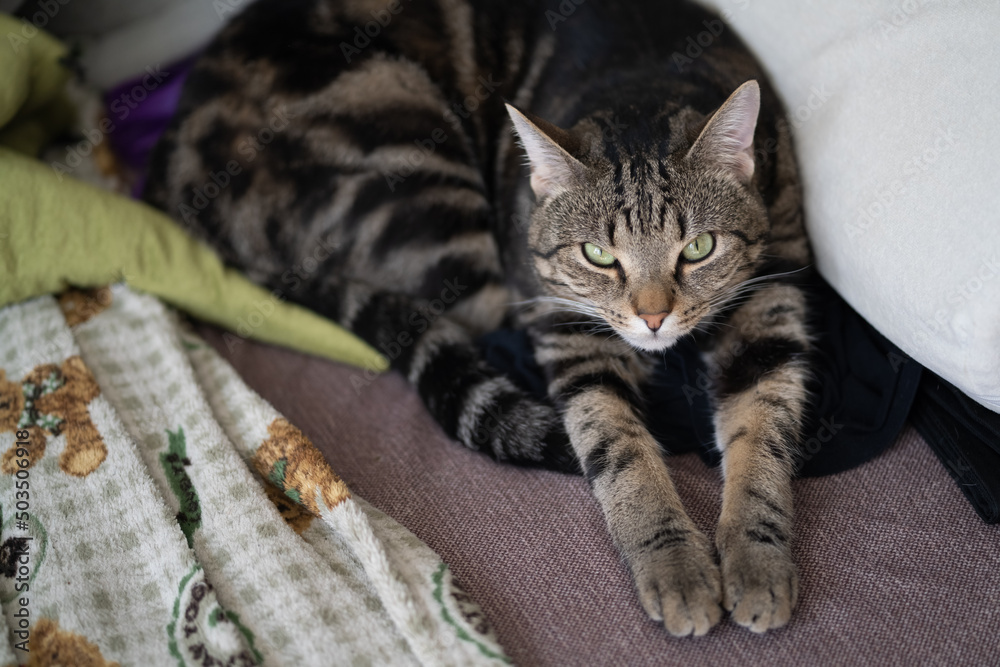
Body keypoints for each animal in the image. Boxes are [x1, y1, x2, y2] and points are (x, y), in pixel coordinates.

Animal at [146, 0, 812, 636]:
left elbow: (764, 429)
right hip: (417, 173)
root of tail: (176, 196)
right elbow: (616, 446)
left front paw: (757, 561)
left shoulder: (774, 290)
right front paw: (675, 566)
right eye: (598, 255)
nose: (653, 318)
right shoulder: (560, 317)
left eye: (698, 247)